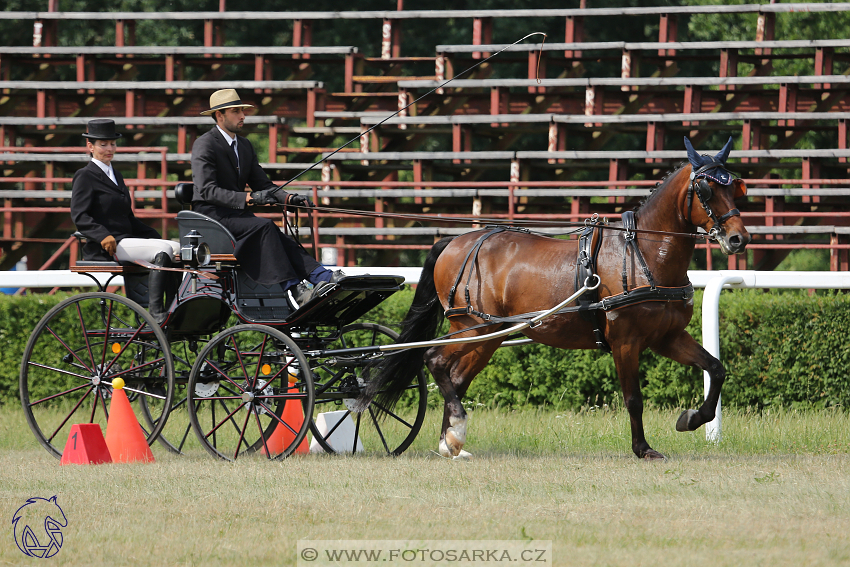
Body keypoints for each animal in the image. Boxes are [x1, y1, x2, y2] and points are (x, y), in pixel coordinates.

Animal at [362, 139, 744, 462]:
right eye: (706, 189)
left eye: (737, 186)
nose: (738, 238)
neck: (642, 254)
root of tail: (454, 242)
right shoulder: (626, 341)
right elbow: (634, 399)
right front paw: (643, 448)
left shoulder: (667, 337)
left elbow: (716, 369)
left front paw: (692, 418)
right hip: (471, 326)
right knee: (434, 360)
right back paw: (454, 429)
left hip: (489, 336)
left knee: (455, 378)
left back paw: (451, 441)